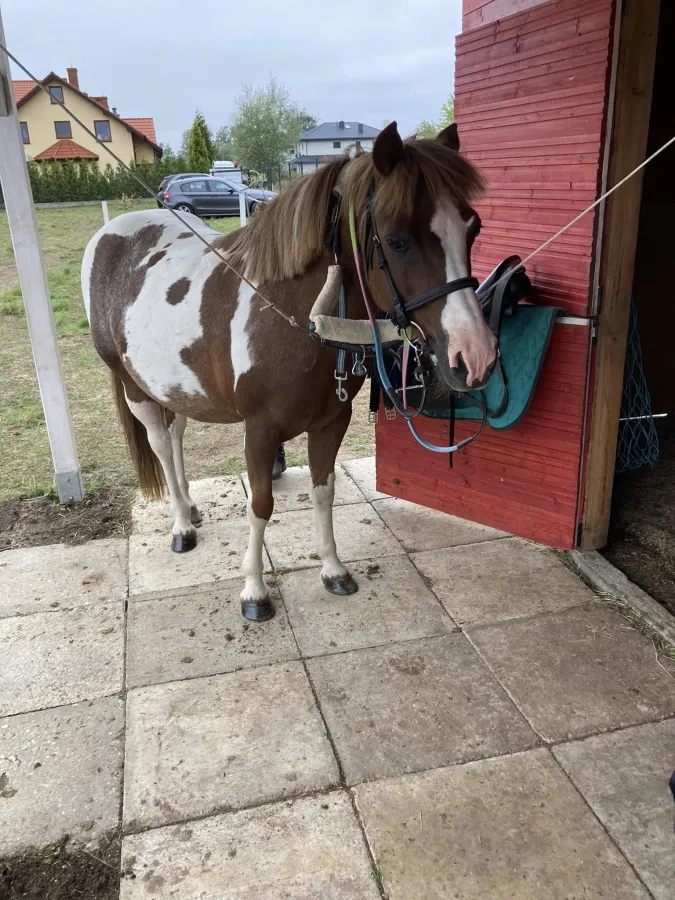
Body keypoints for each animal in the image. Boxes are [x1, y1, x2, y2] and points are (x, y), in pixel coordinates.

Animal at [81, 122, 496, 622]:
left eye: (472, 228)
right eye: (397, 240)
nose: (475, 356)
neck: (292, 313)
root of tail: (110, 233)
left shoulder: (331, 423)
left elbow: (324, 492)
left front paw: (333, 569)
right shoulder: (260, 431)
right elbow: (260, 504)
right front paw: (254, 590)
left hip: (174, 384)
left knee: (175, 432)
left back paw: (190, 506)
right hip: (133, 385)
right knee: (160, 442)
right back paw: (181, 525)